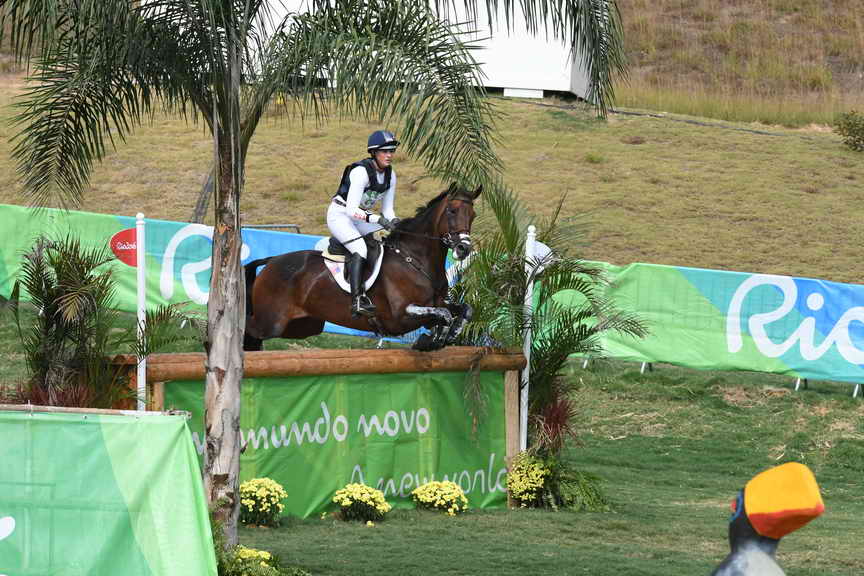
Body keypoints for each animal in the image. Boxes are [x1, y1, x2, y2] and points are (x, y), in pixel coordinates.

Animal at [242, 183, 481, 351]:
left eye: (473, 215)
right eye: (452, 211)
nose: (463, 248)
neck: (414, 259)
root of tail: (272, 260)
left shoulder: (438, 304)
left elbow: (462, 310)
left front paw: (444, 336)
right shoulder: (400, 317)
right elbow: (443, 314)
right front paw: (433, 339)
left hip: (304, 325)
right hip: (271, 322)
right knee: (248, 327)